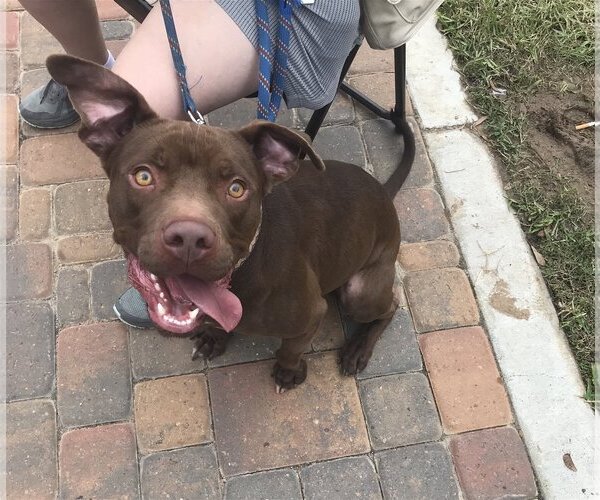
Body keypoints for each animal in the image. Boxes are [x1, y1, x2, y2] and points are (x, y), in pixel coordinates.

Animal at [48, 55, 412, 390]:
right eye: (143, 176)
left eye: (236, 188)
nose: (190, 238)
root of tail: (383, 190)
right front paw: (214, 336)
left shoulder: (312, 314)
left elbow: (291, 348)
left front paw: (289, 371)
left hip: (359, 294)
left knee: (390, 305)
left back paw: (358, 349)